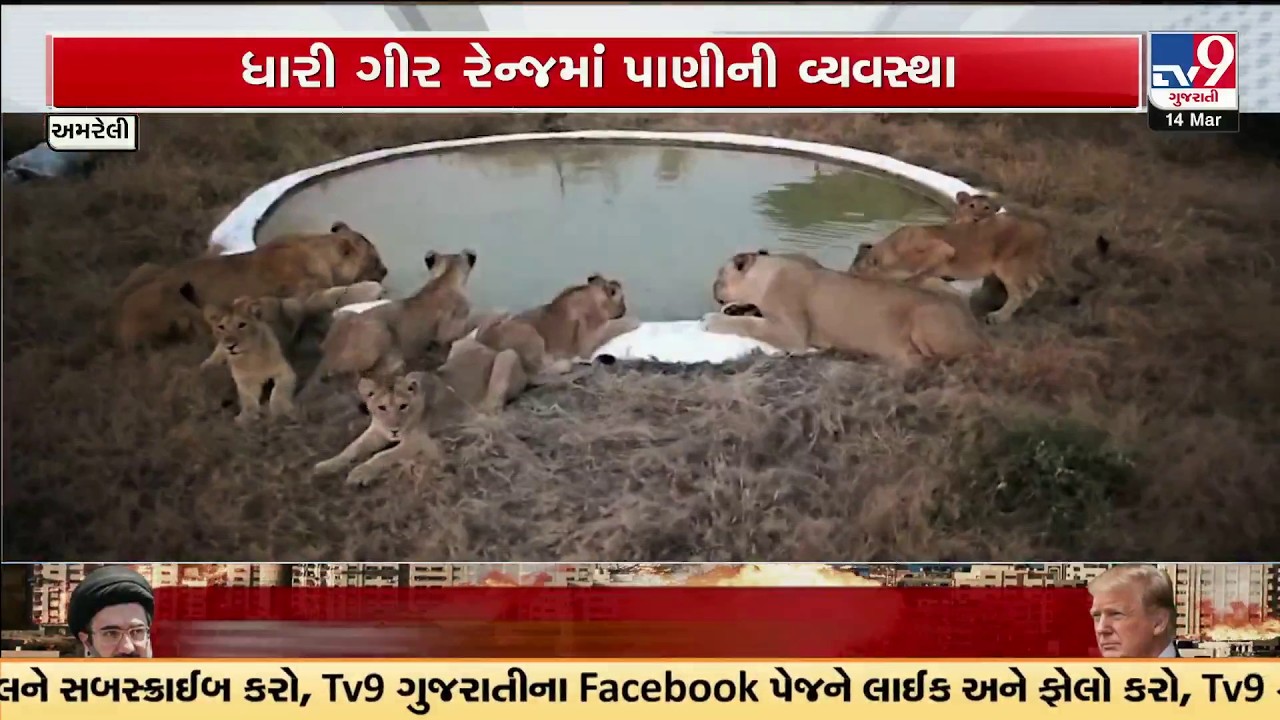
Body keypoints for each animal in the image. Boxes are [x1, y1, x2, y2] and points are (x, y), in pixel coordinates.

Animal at [111, 221, 388, 349]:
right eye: (374, 259)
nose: (385, 271)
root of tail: (118, 321)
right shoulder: (302, 296)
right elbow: (336, 294)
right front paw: (370, 291)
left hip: (148, 266)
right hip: (176, 313)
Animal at [312, 371, 440, 487]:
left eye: (403, 406)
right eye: (382, 407)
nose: (394, 430)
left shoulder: (416, 442)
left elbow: (383, 456)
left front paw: (359, 472)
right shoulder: (376, 432)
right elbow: (352, 448)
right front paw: (325, 466)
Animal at [704, 250, 989, 368]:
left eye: (719, 277)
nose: (713, 289)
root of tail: (977, 330)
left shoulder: (792, 333)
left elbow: (750, 324)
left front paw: (712, 320)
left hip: (924, 316)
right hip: (929, 281)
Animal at [848, 192, 1051, 324]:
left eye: (855, 272)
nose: (848, 276)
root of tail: (1040, 228)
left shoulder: (943, 249)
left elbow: (918, 276)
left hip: (1008, 266)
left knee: (1019, 293)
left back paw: (998, 317)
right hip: (1024, 264)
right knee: (1035, 282)